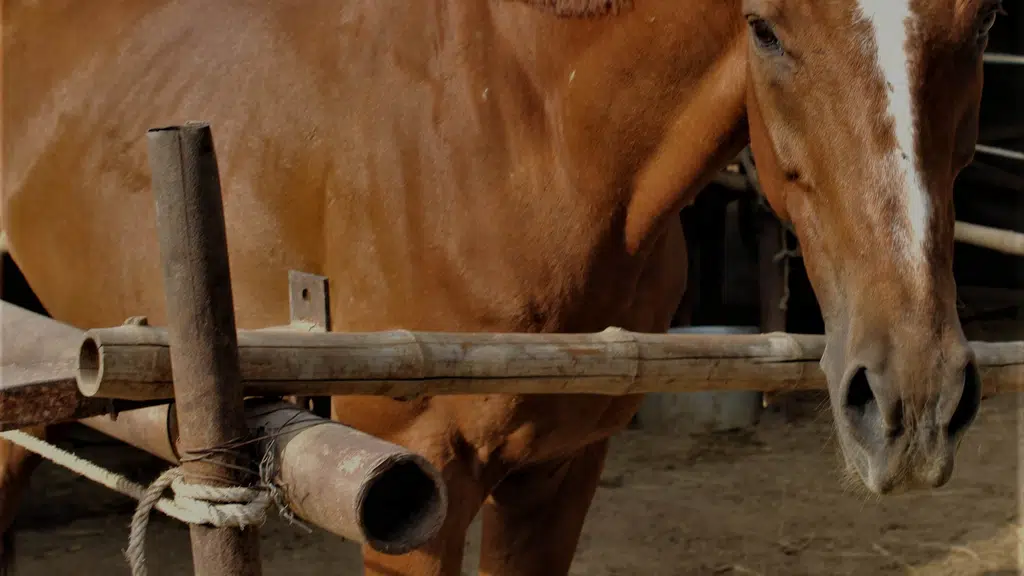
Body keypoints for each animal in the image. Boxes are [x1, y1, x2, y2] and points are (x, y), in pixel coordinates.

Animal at [1, 0, 999, 573]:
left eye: (984, 21)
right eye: (764, 25)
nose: (912, 402)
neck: (522, 137)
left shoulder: (558, 475)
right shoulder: (412, 492)